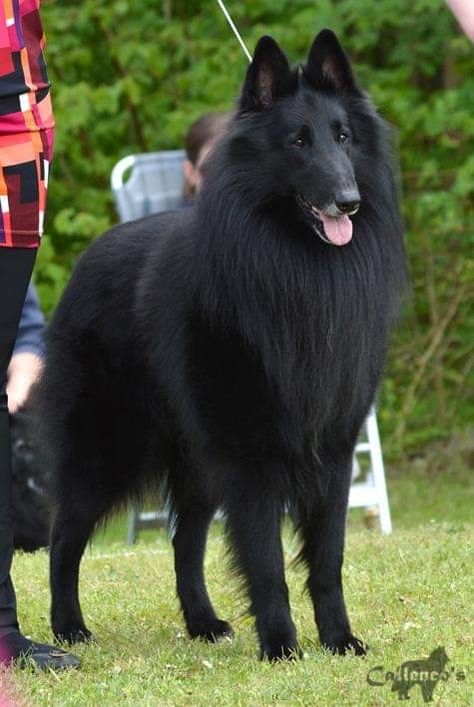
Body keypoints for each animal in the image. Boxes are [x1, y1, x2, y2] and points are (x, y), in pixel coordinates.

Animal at [39, 30, 406, 660]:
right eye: (298, 142)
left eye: (343, 137)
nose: (348, 200)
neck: (296, 270)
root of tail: (89, 257)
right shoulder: (251, 458)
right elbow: (267, 564)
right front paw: (281, 646)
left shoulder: (332, 450)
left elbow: (327, 561)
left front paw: (338, 640)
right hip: (108, 451)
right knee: (65, 538)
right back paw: (69, 629)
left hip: (196, 466)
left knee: (184, 542)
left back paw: (202, 623)